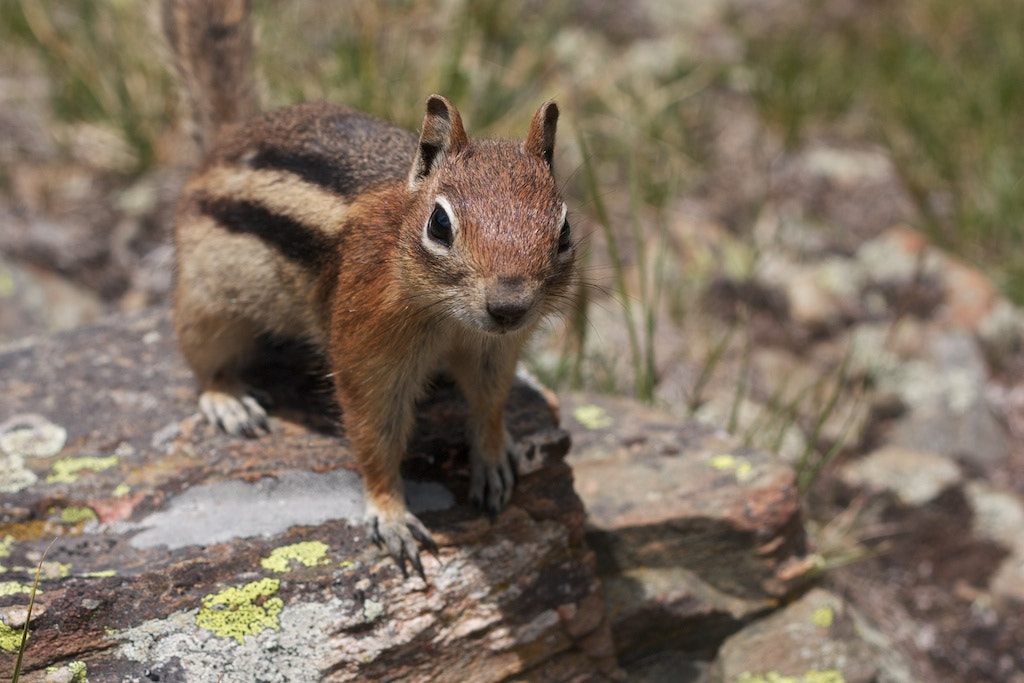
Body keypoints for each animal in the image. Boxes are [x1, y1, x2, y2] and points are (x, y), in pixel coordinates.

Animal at [162, 0, 577, 579]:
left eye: (564, 231)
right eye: (440, 225)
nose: (509, 306)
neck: (449, 319)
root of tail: (229, 137)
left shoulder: (493, 350)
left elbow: (490, 402)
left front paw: (494, 457)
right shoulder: (368, 350)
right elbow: (373, 430)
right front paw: (391, 515)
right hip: (207, 301)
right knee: (204, 358)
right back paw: (229, 401)